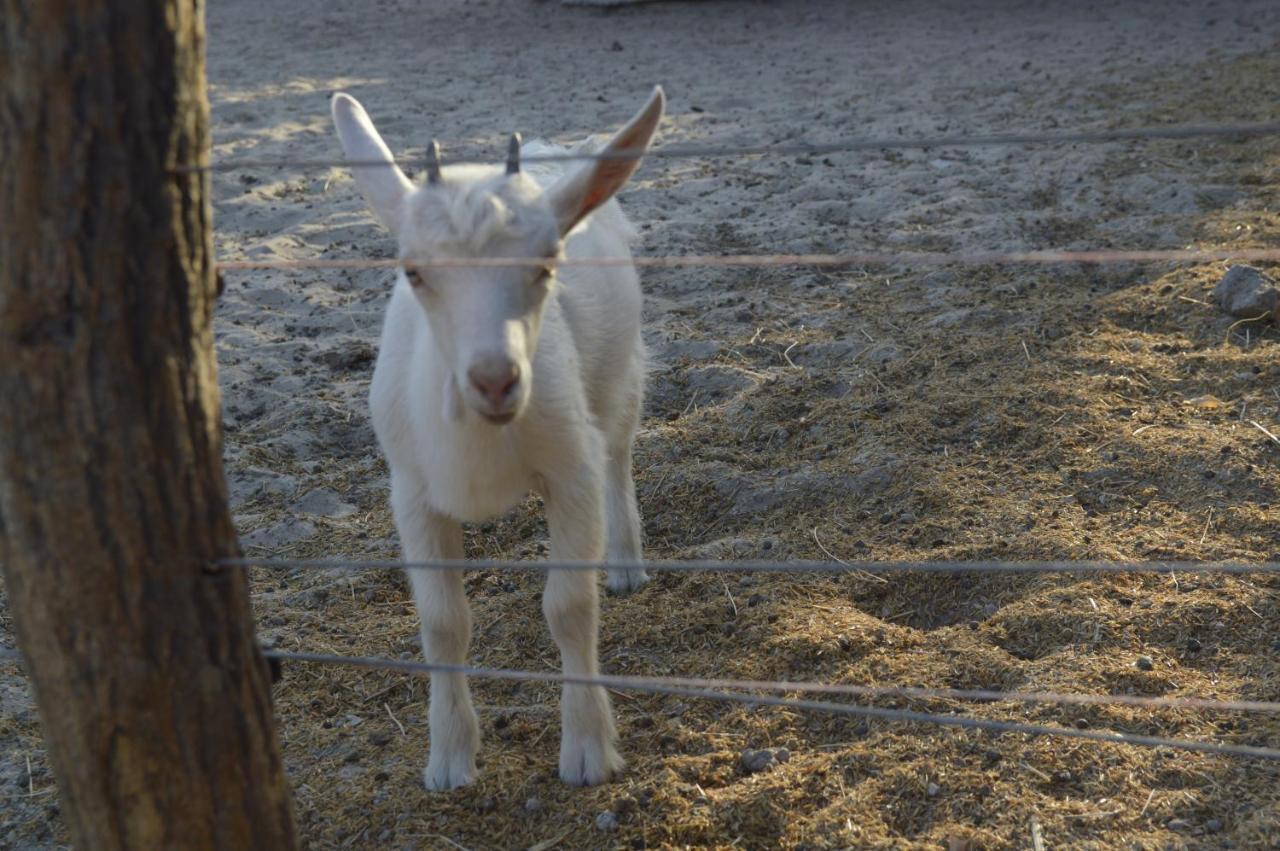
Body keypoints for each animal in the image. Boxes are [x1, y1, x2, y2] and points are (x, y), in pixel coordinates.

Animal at [330, 87, 665, 788]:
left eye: (548, 262)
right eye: (413, 271)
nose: (494, 379)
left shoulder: (571, 471)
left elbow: (568, 607)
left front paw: (587, 750)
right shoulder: (412, 493)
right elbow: (442, 624)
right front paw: (449, 761)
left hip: (618, 372)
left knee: (619, 450)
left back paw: (625, 564)